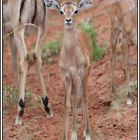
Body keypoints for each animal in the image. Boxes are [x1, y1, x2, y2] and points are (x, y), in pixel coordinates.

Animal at [44, 0, 93, 139]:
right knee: (76, 96)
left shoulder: (83, 72)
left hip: (83, 75)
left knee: (82, 95)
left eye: (76, 10)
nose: (68, 20)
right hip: (73, 79)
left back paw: (85, 131)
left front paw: (88, 134)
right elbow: (67, 104)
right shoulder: (65, 76)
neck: (71, 55)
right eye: (61, 11)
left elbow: (85, 97)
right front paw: (68, 135)